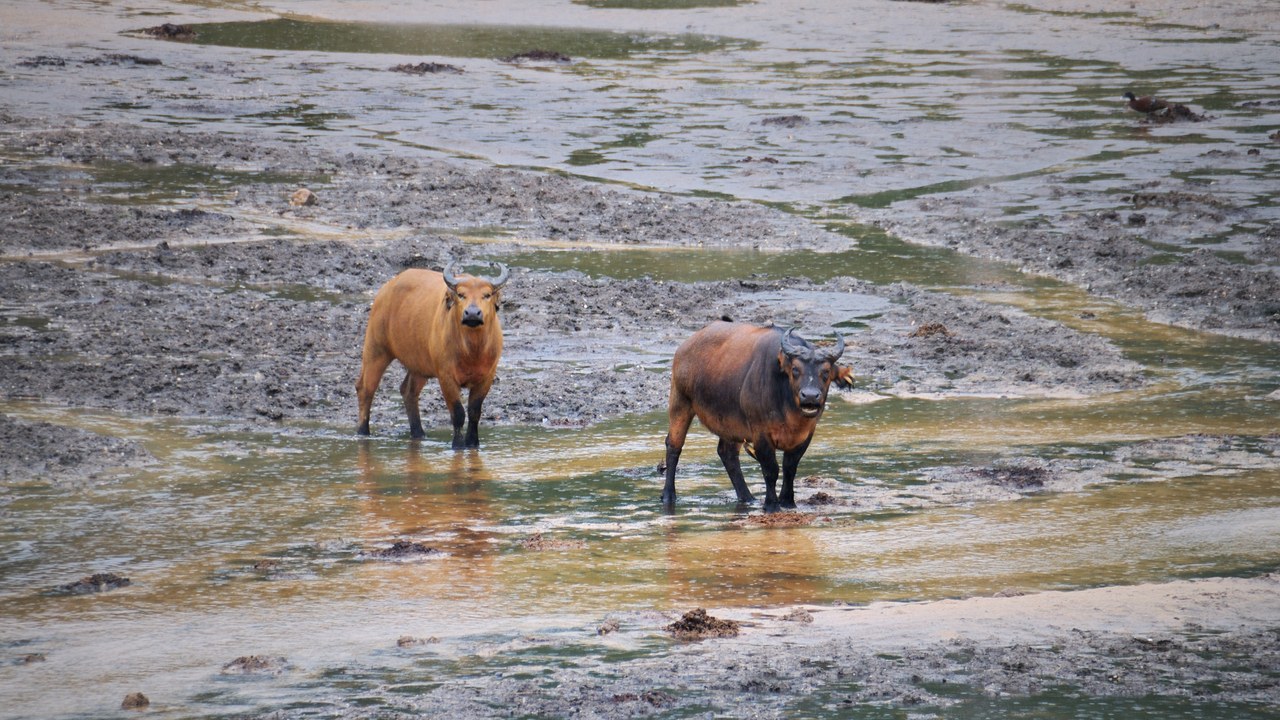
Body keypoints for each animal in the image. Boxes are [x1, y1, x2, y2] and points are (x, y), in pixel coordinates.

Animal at [356, 262, 508, 448]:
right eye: (461, 294)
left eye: (487, 295)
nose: (472, 313)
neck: (472, 350)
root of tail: (387, 289)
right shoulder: (446, 377)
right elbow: (458, 413)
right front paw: (457, 445)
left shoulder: (487, 377)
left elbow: (474, 412)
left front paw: (473, 443)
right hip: (376, 348)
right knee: (365, 389)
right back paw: (363, 432)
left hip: (419, 366)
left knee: (408, 391)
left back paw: (418, 433)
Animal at [661, 320, 851, 512]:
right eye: (795, 369)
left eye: (826, 372)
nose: (810, 396)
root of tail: (685, 346)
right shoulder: (760, 433)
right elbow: (771, 469)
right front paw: (771, 505)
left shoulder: (806, 435)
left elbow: (790, 468)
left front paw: (788, 502)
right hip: (680, 401)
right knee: (674, 446)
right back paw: (668, 495)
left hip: (731, 423)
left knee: (727, 453)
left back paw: (747, 498)